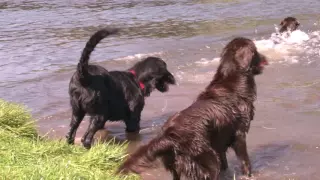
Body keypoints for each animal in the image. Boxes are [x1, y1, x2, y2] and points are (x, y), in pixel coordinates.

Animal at [117, 37, 268, 179]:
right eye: (256, 51)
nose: (266, 58)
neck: (232, 80)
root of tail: (168, 137)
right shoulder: (239, 135)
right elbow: (245, 163)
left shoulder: (220, 143)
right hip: (209, 161)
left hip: (177, 167)